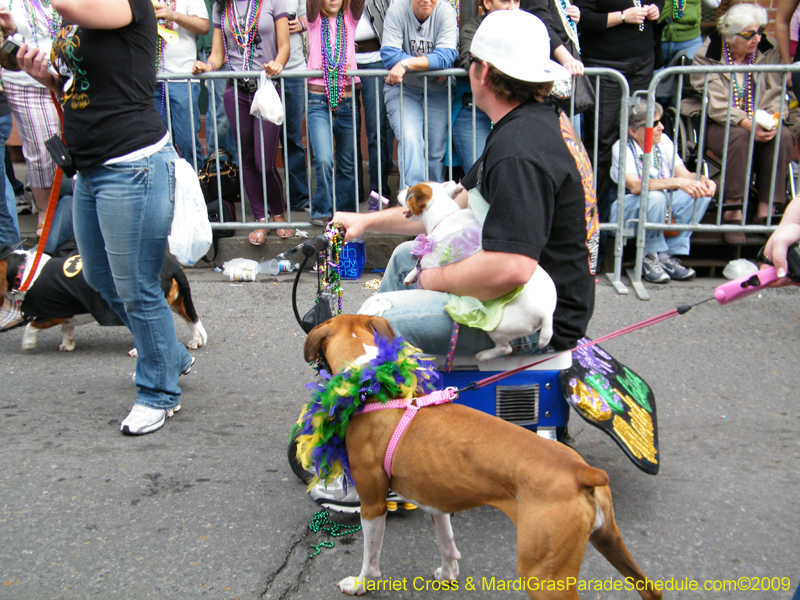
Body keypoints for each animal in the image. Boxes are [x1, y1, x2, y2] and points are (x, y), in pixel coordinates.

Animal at [0, 250, 206, 354]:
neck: (28, 271)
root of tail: (172, 265)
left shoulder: (52, 313)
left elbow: (31, 326)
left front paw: (28, 344)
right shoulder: (67, 313)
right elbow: (66, 329)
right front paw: (67, 345)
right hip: (178, 302)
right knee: (191, 318)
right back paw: (194, 341)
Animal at [304, 316, 664, 596]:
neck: (373, 387)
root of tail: (581, 472)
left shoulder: (373, 504)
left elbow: (371, 557)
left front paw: (360, 584)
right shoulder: (436, 502)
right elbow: (447, 543)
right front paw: (447, 574)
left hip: (544, 577)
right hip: (611, 543)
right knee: (651, 589)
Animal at [396, 182, 556, 360]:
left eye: (409, 193)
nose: (399, 190)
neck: (443, 217)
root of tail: (547, 314)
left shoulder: (433, 260)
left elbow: (421, 264)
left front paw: (413, 273)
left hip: (499, 328)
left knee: (505, 348)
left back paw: (485, 355)